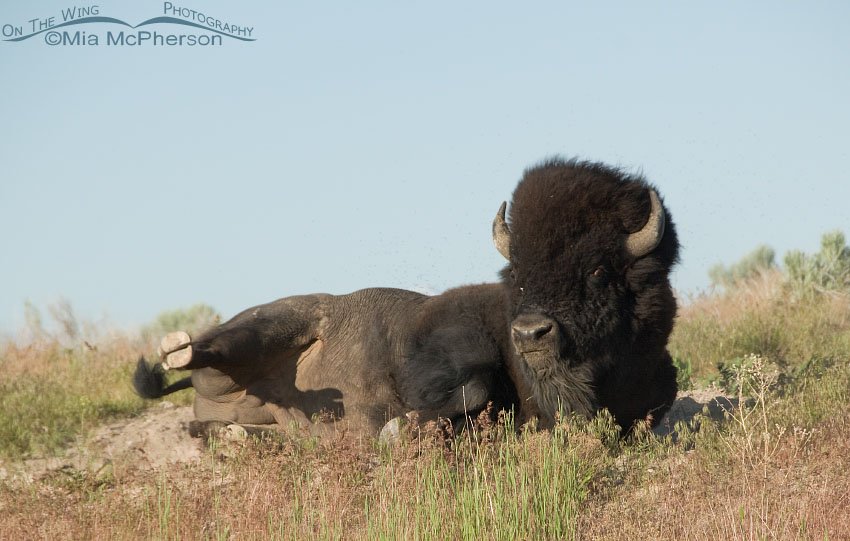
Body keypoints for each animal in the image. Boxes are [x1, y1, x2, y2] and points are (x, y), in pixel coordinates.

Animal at [134, 158, 680, 437]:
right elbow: (470, 389)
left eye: (598, 270)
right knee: (217, 346)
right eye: (517, 274)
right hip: (278, 323)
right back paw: (176, 345)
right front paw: (400, 428)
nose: (530, 333)